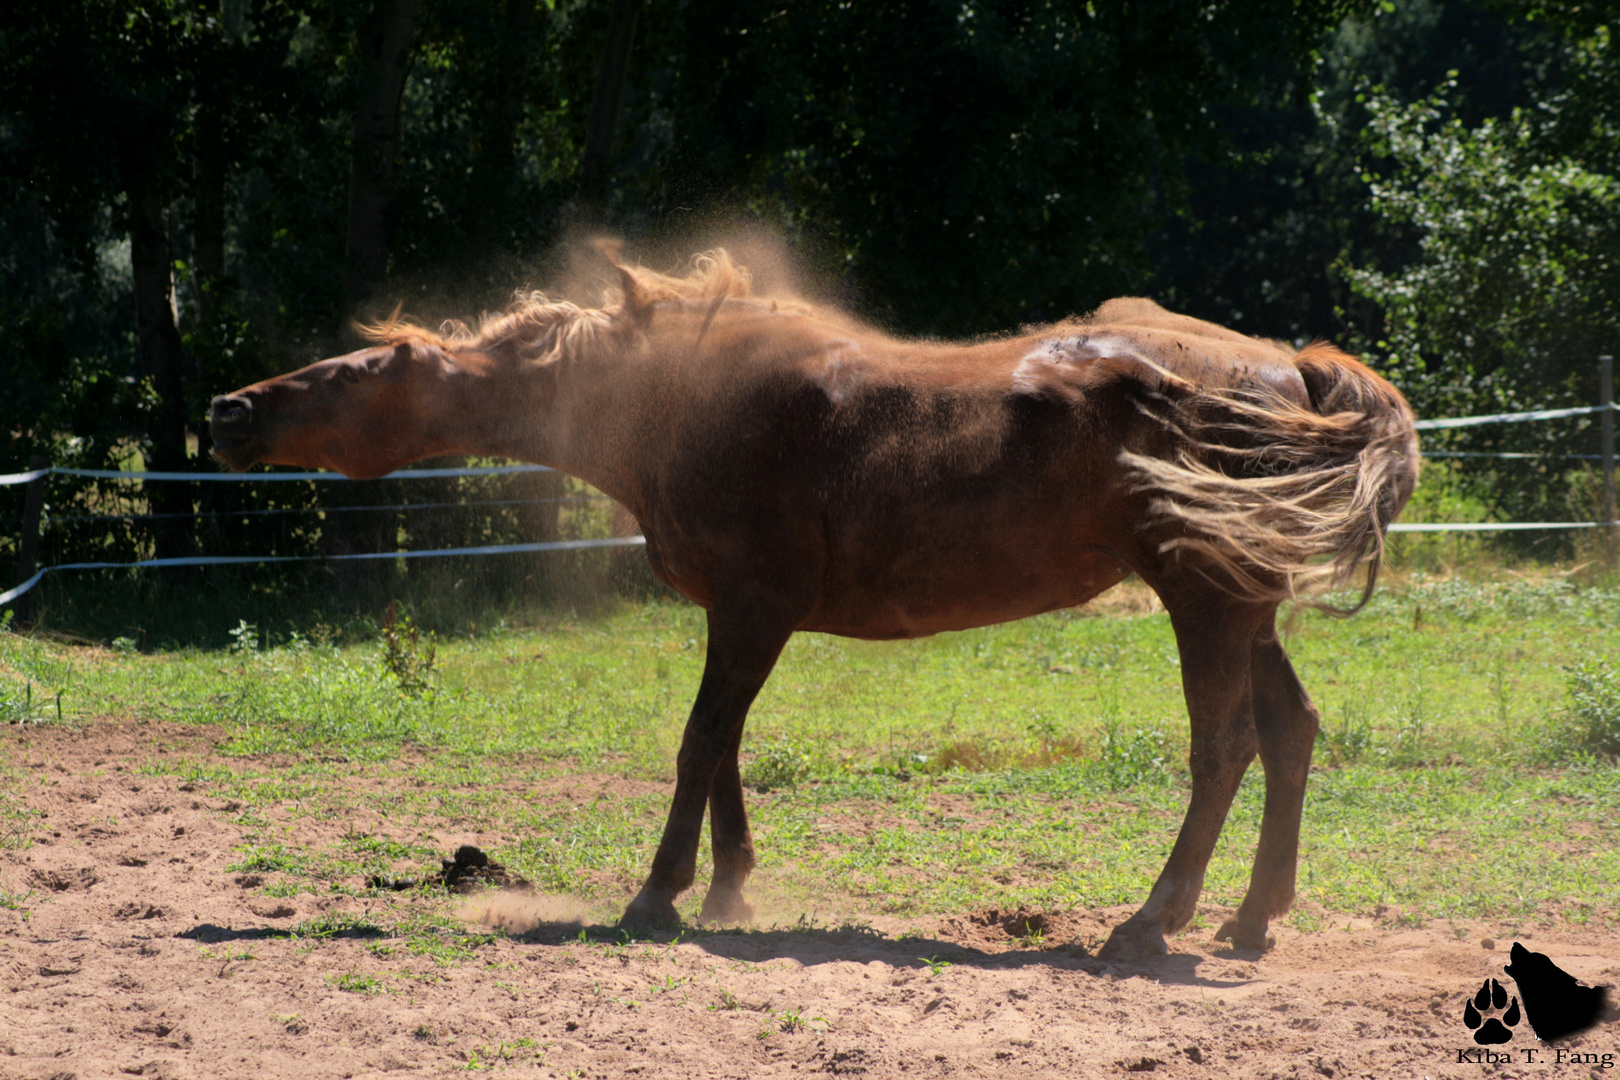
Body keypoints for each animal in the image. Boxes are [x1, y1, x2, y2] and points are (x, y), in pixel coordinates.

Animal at [212, 247, 1419, 965]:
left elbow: (701, 742)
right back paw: (1251, 921)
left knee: (1225, 747)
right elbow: (725, 748)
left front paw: (659, 897)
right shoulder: (737, 614)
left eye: (346, 374)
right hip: (1243, 603)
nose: (227, 409)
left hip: (1203, 599)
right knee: (1290, 732)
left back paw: (1150, 922)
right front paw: (728, 890)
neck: (677, 400)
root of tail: (1287, 369)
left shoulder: (753, 608)